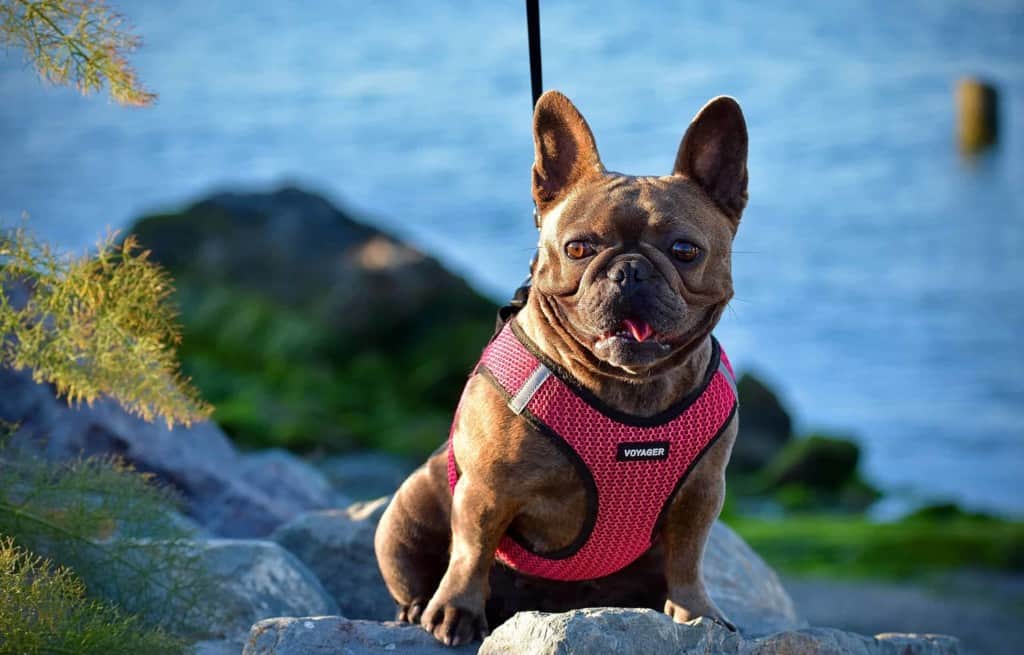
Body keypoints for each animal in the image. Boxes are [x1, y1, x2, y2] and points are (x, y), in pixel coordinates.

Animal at [374, 89, 745, 646]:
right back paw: (421, 606)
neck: (628, 388)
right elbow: (472, 550)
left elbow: (687, 559)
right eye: (578, 248)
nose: (629, 270)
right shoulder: (486, 491)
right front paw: (456, 611)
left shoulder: (701, 495)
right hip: (409, 506)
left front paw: (696, 611)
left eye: (685, 251)